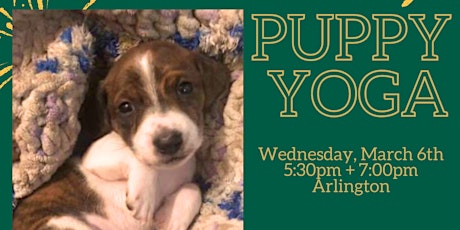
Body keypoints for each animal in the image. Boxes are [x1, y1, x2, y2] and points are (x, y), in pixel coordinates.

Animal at [13, 40, 230, 229]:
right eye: (125, 107)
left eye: (185, 88)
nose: (168, 142)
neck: (166, 170)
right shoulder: (93, 155)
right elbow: (134, 155)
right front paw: (143, 196)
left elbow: (193, 190)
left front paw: (169, 219)